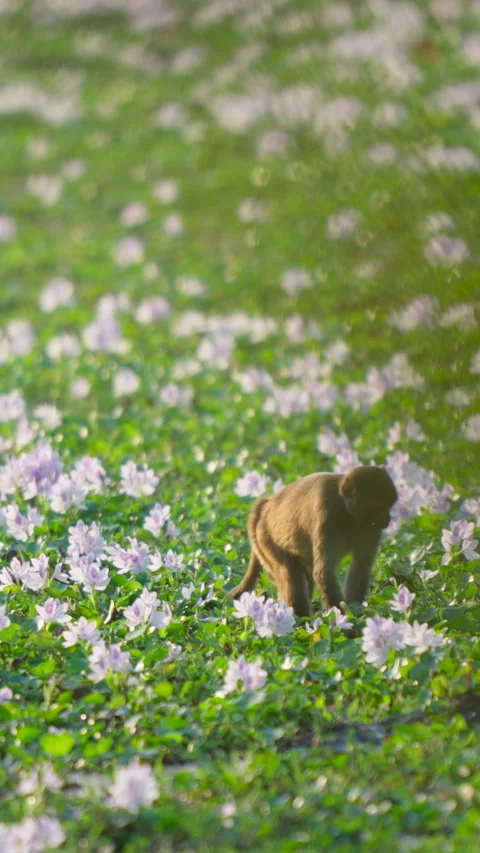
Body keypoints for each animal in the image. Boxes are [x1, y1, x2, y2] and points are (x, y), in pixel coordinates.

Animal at [229, 465, 398, 620]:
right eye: (378, 505)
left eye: (389, 505)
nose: (387, 519)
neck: (348, 513)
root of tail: (265, 506)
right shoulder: (327, 516)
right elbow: (324, 574)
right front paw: (345, 624)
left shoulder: (372, 530)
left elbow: (360, 568)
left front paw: (355, 614)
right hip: (265, 540)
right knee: (291, 575)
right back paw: (300, 623)